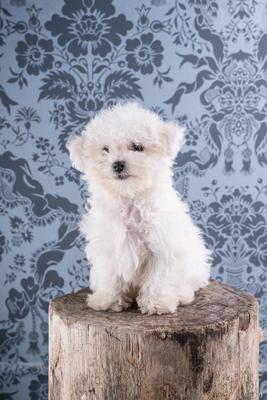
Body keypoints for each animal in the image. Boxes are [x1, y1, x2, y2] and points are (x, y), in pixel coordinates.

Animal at [67, 101, 211, 314]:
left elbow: (159, 278)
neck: (130, 198)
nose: (118, 164)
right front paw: (107, 299)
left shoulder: (162, 247)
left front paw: (157, 303)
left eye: (137, 147)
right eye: (105, 149)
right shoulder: (108, 245)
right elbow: (109, 275)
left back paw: (182, 295)